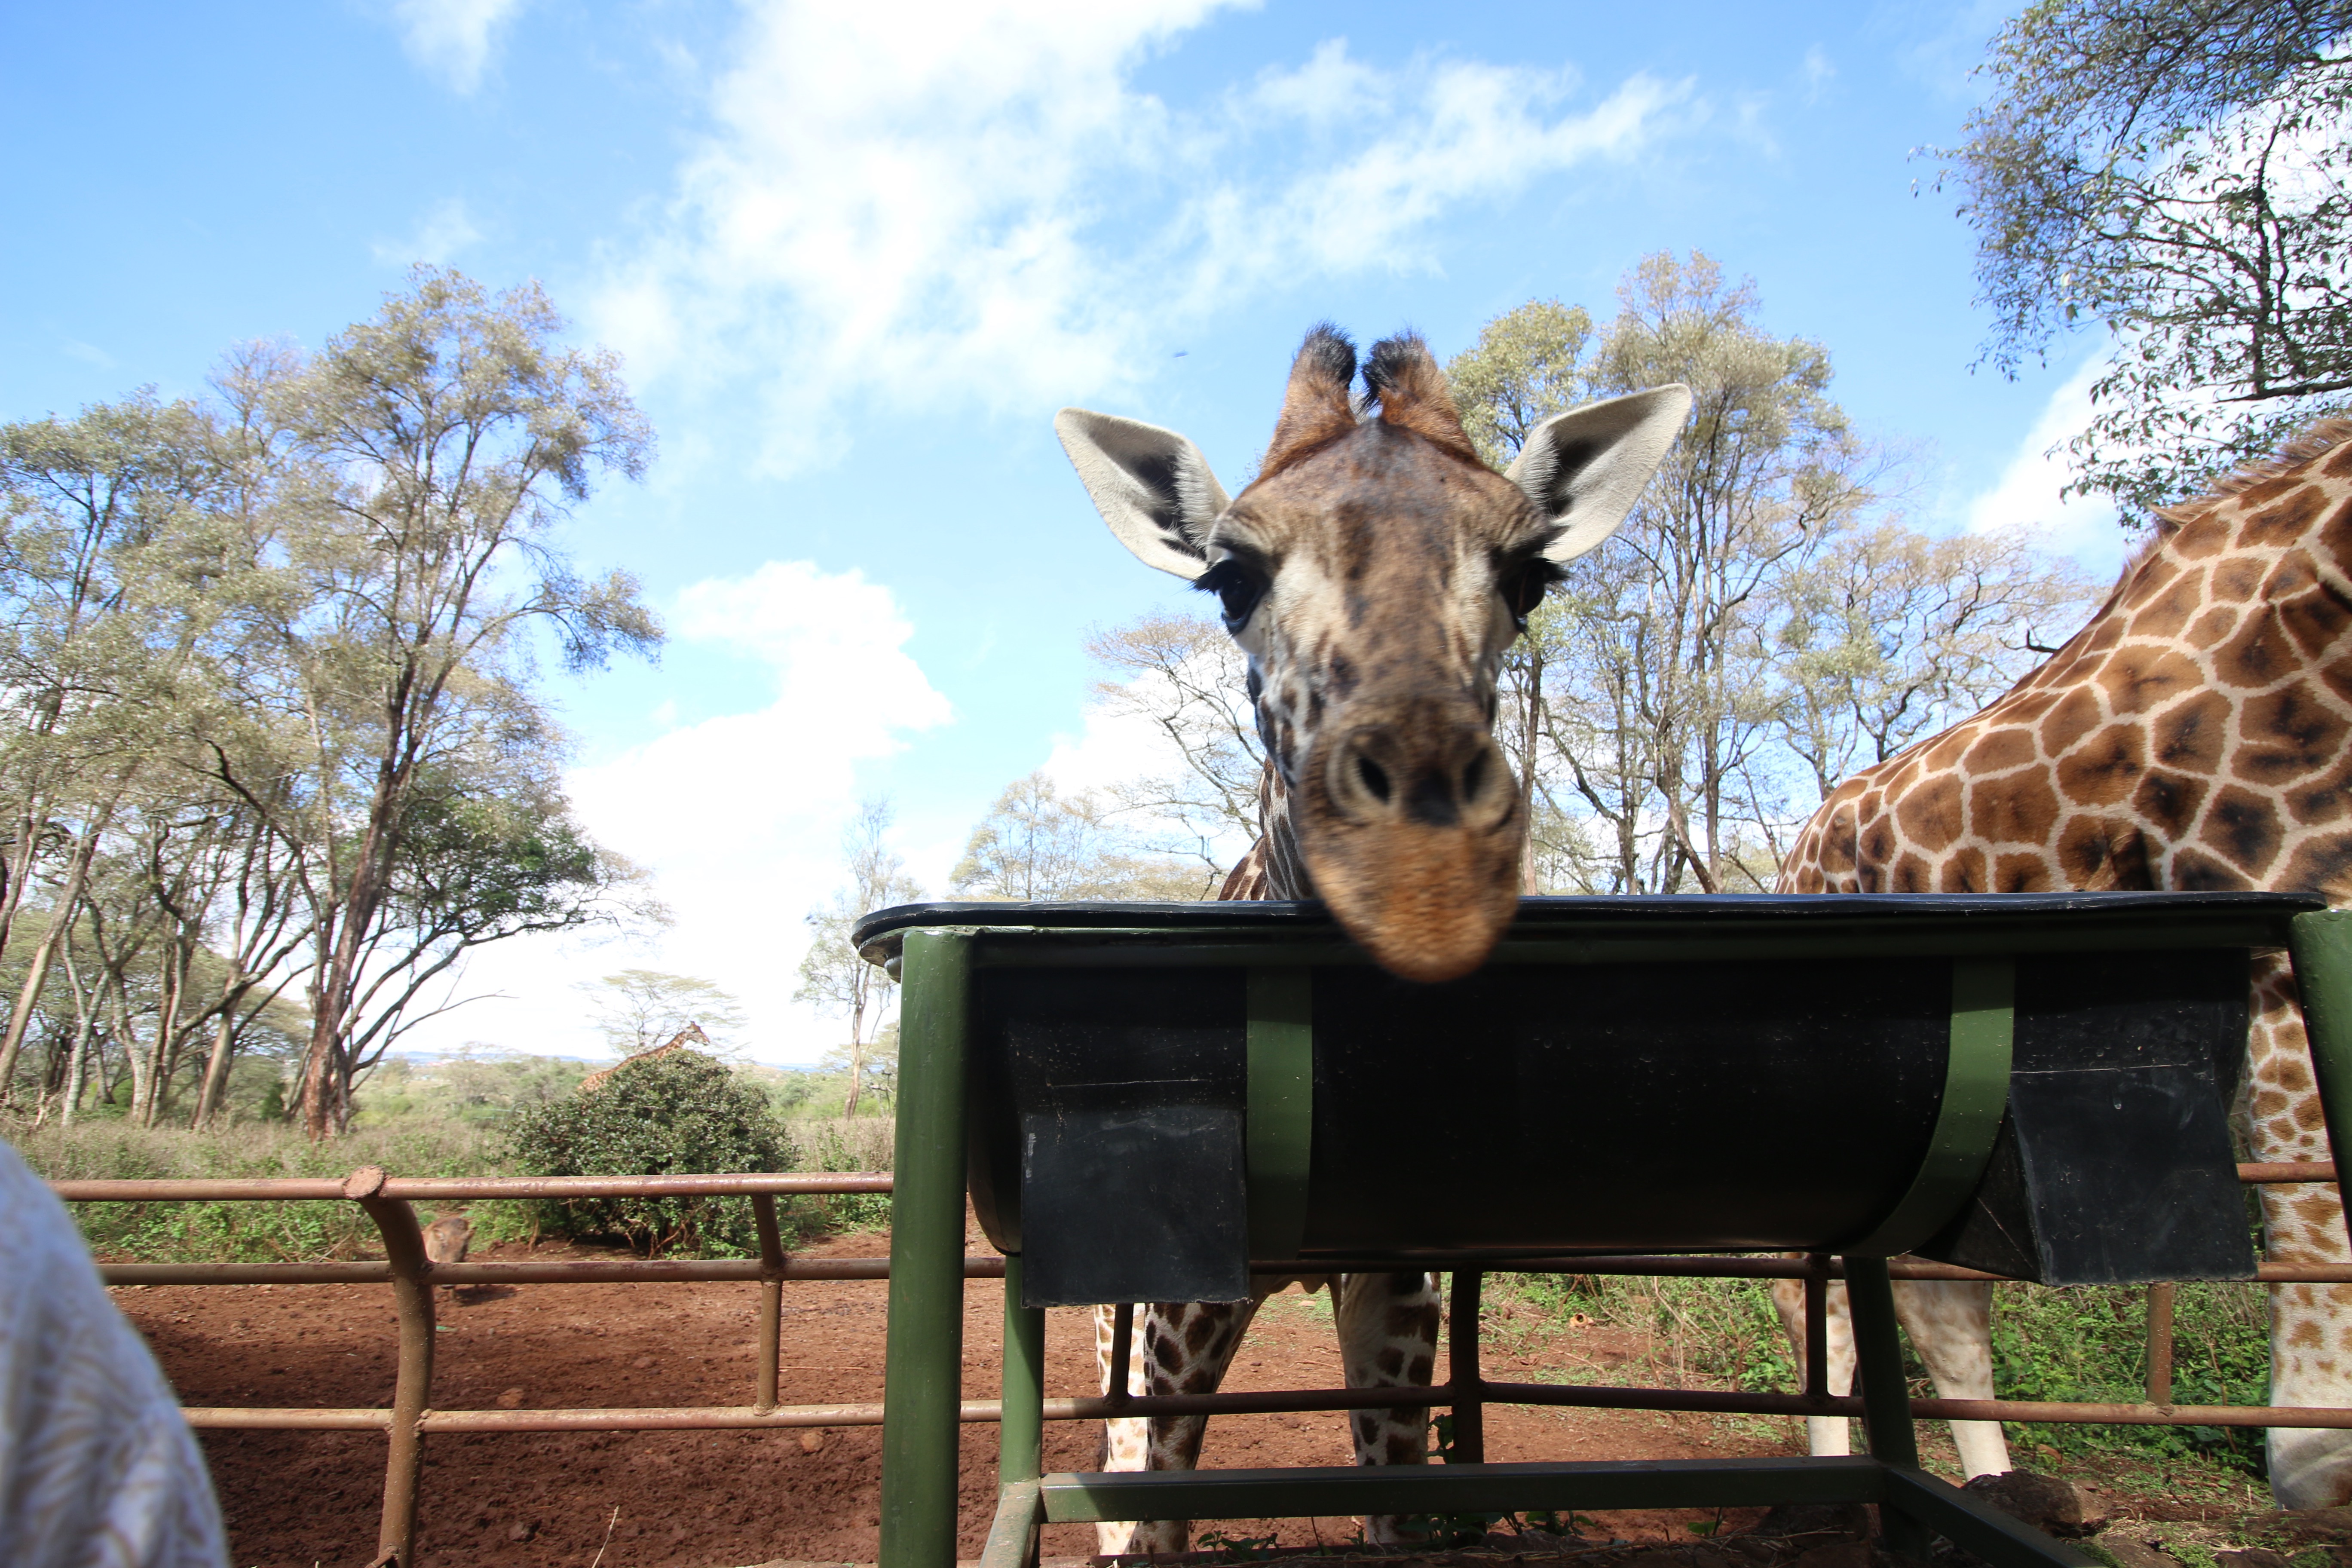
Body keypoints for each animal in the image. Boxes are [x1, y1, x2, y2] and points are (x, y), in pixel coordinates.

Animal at [1056, 325, 1691, 1551]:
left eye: (1530, 575)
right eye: (1230, 578)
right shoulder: (1185, 1290)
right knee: (1109, 1465)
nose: (1421, 874)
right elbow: (1152, 1509)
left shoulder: (1397, 1283)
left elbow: (1393, 1512)